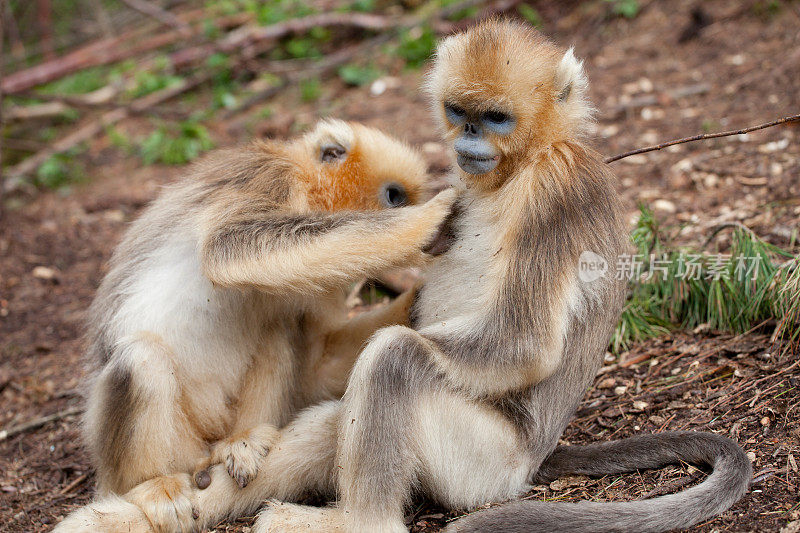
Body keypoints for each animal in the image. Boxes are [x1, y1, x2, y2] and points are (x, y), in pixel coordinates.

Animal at [54, 119, 456, 532]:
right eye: (394, 196)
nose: (408, 206)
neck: (306, 187)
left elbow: (317, 365)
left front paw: (416, 301)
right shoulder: (270, 177)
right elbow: (228, 248)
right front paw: (431, 218)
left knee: (279, 325)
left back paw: (242, 440)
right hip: (158, 449)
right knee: (140, 359)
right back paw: (153, 485)